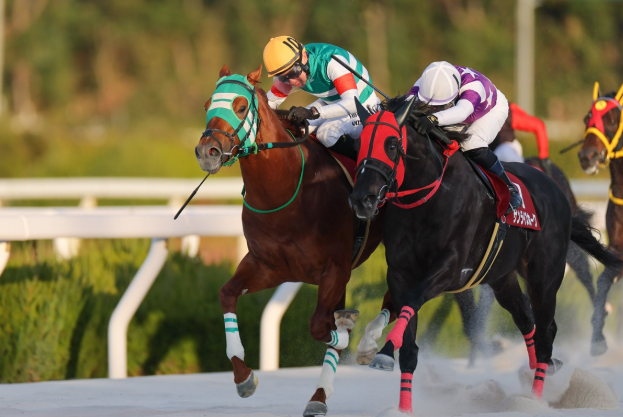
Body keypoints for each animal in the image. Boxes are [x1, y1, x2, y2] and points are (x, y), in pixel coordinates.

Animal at [194, 65, 397, 417]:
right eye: (208, 103)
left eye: (240, 106)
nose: (208, 152)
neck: (286, 192)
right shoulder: (267, 266)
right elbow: (227, 294)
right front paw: (243, 377)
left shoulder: (334, 268)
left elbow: (319, 325)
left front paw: (347, 332)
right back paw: (321, 393)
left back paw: (368, 347)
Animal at [348, 96, 623, 414]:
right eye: (359, 142)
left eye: (391, 144)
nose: (362, 199)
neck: (428, 199)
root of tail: (555, 189)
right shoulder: (400, 274)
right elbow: (409, 341)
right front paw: (401, 401)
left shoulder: (449, 269)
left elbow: (415, 302)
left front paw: (383, 348)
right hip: (503, 277)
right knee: (526, 319)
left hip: (545, 276)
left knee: (546, 332)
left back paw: (535, 399)